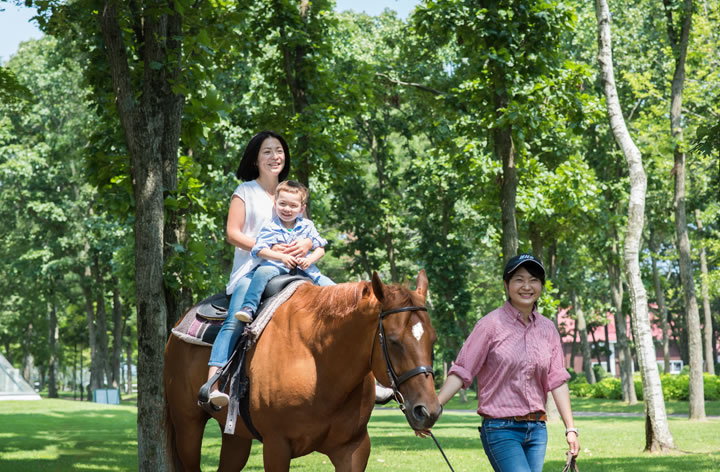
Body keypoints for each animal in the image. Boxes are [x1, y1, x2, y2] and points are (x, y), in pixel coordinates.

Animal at [164, 272, 442, 470]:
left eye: (433, 339)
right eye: (393, 341)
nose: (427, 410)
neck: (319, 364)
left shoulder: (353, 449)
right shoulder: (276, 447)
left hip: (236, 436)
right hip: (187, 426)